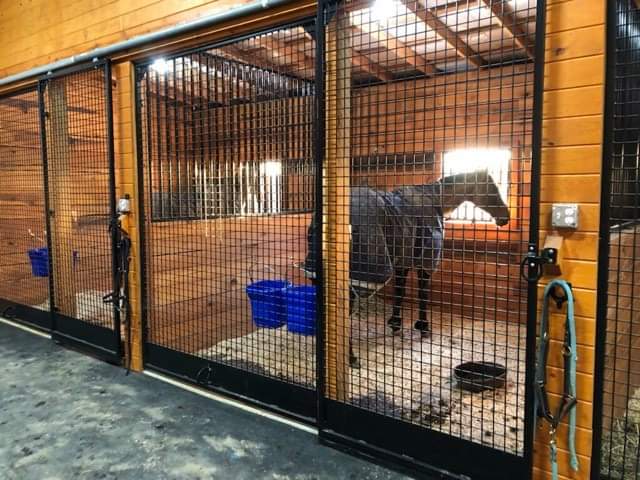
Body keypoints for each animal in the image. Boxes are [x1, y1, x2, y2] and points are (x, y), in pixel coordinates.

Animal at [302, 170, 510, 368]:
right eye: (492, 188)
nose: (505, 218)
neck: (435, 199)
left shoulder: (403, 261)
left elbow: (400, 292)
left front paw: (395, 324)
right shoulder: (425, 262)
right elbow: (422, 293)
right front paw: (423, 327)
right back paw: (351, 358)